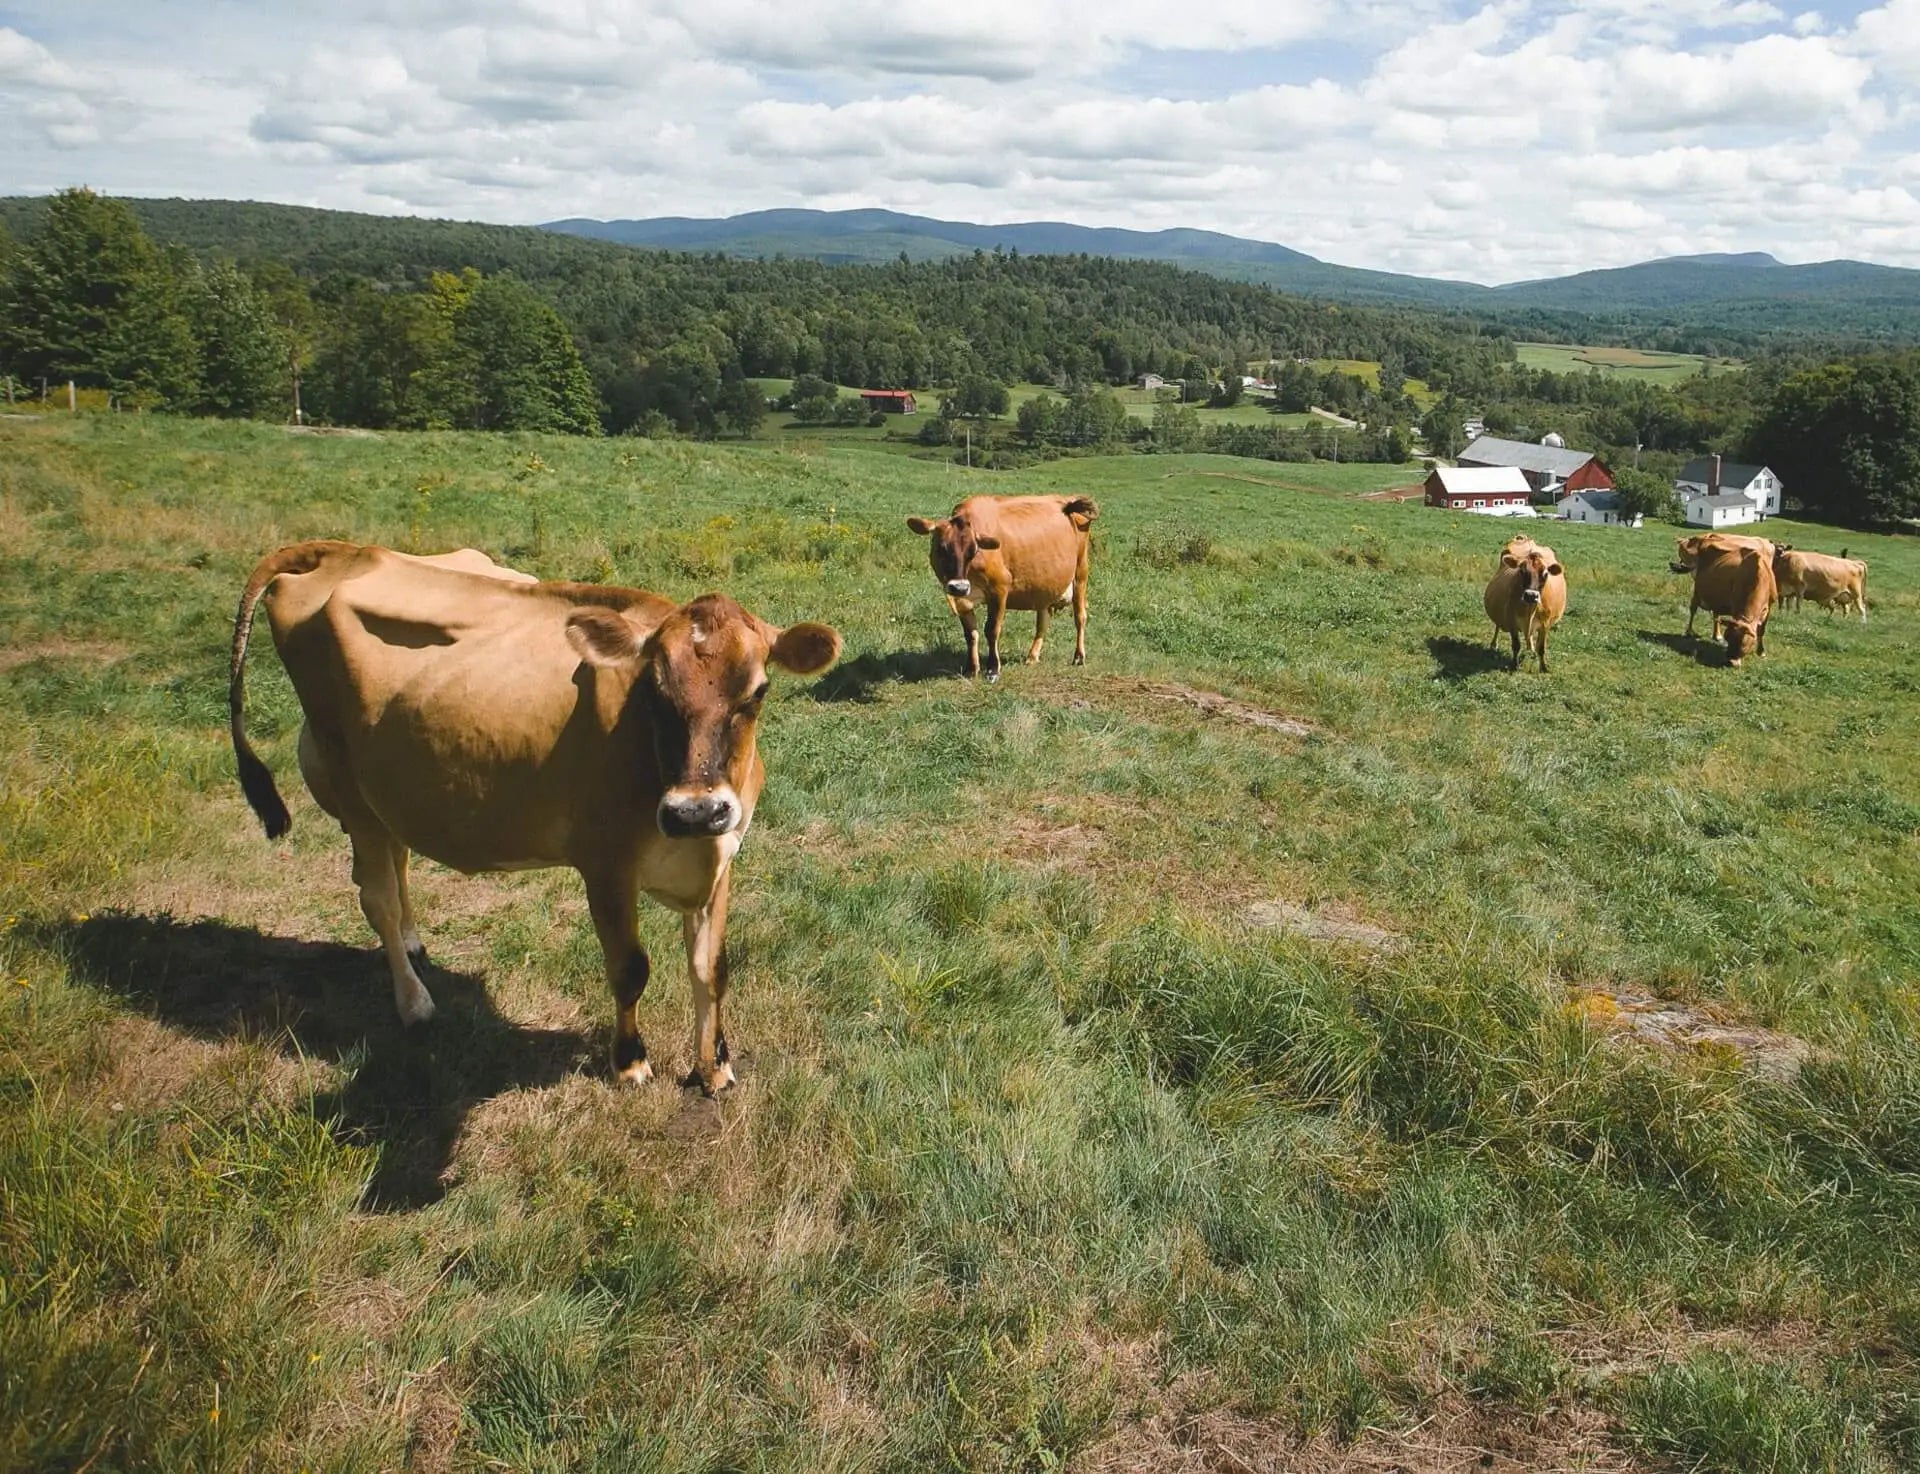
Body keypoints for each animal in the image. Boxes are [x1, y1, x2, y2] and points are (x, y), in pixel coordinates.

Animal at [230, 541, 840, 1090]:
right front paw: (630, 1062)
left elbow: (711, 970)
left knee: (396, 861)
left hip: (388, 790)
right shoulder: (606, 865)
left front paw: (713, 1068)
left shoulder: (723, 853)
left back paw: (413, 943)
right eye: (653, 688)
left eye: (757, 692)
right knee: (375, 895)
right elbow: (630, 970)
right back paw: (415, 1003)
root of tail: (348, 551)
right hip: (349, 783)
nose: (696, 811)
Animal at [902, 495, 1098, 679]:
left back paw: (1079, 656)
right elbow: (970, 633)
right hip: (1045, 585)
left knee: (1080, 616)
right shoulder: (961, 599)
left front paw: (993, 669)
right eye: (941, 548)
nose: (959, 587)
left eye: (973, 551)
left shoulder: (1000, 587)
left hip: (1080, 572)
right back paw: (1032, 656)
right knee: (1043, 620)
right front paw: (971, 668)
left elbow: (991, 629)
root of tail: (1067, 500)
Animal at [1474, 537, 1566, 667]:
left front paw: (1543, 667)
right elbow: (1516, 645)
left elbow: (1541, 648)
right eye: (1522, 571)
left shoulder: (1545, 624)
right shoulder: (1511, 620)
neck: (1530, 609)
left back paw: (1531, 648)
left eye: (1545, 574)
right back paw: (1494, 644)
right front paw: (1514, 664)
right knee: (1497, 625)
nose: (1531, 595)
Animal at [1674, 533, 1774, 664]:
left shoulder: (1769, 606)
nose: (1731, 661)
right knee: (1693, 609)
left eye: (1744, 643)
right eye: (1728, 638)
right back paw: (1689, 632)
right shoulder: (1735, 604)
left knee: (1716, 614)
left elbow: (1761, 630)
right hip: (1697, 589)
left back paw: (1716, 635)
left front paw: (1761, 652)